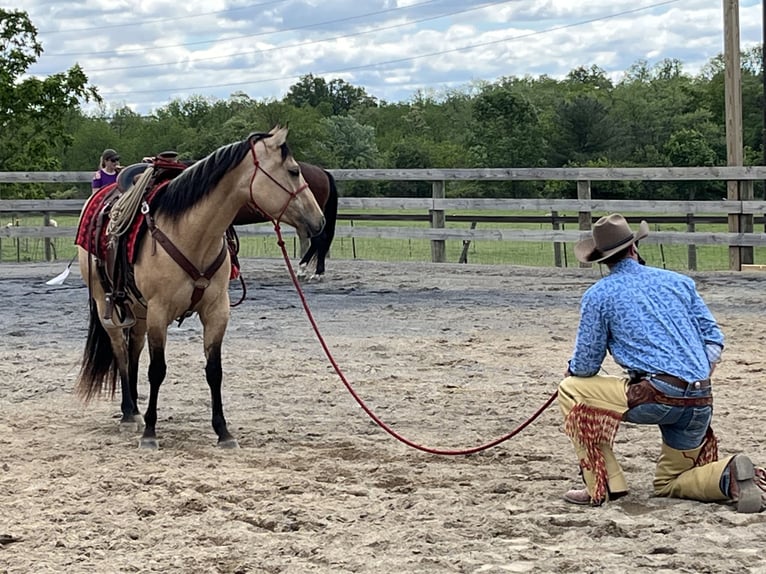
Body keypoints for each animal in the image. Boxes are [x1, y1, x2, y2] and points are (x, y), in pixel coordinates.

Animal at [75, 126, 325, 449]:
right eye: (294, 171)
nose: (319, 220)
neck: (192, 234)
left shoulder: (216, 311)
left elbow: (214, 371)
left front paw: (223, 432)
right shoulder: (159, 313)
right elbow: (157, 371)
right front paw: (150, 433)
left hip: (138, 311)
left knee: (133, 352)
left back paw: (135, 412)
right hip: (109, 306)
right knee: (120, 351)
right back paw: (130, 415)